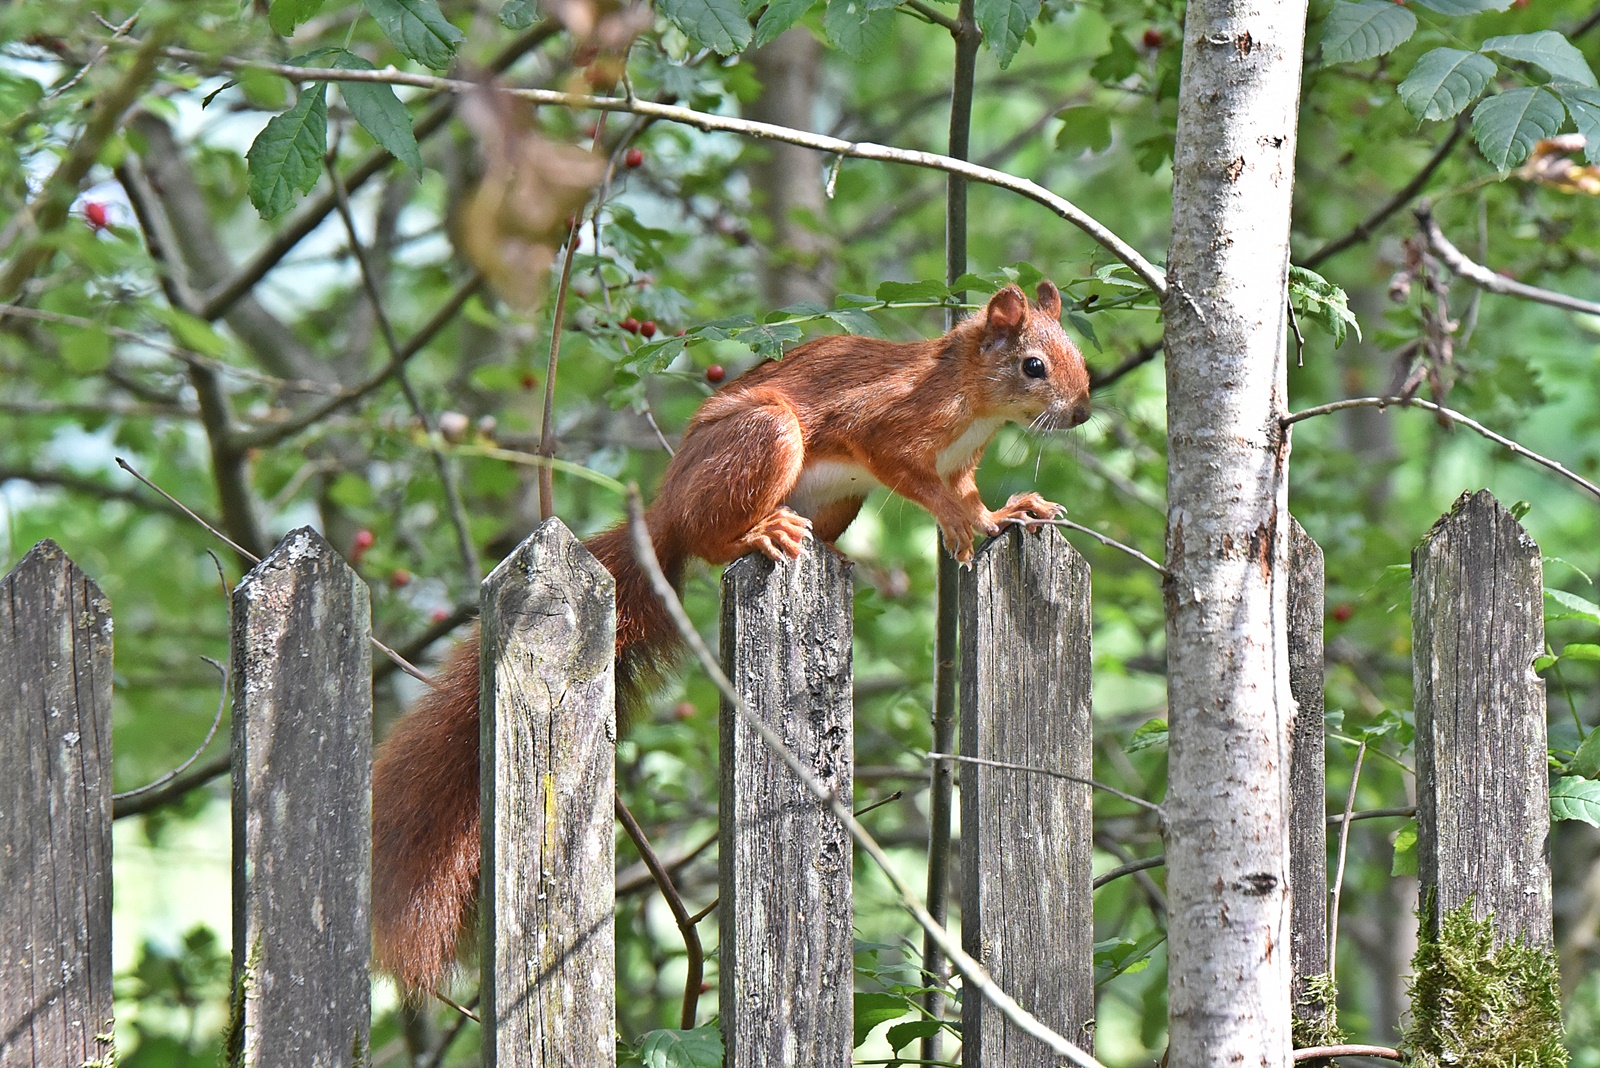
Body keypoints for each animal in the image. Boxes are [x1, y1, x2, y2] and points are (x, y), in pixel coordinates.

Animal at [372, 279, 1094, 997]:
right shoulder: (887, 422)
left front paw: (1011, 511)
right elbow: (908, 473)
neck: (971, 398)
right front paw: (957, 525)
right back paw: (760, 533)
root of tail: (664, 510)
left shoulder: (961, 464)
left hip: (835, 501)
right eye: (1033, 365)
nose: (1084, 411)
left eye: (1079, 356)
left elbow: (972, 497)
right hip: (762, 439)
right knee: (714, 539)